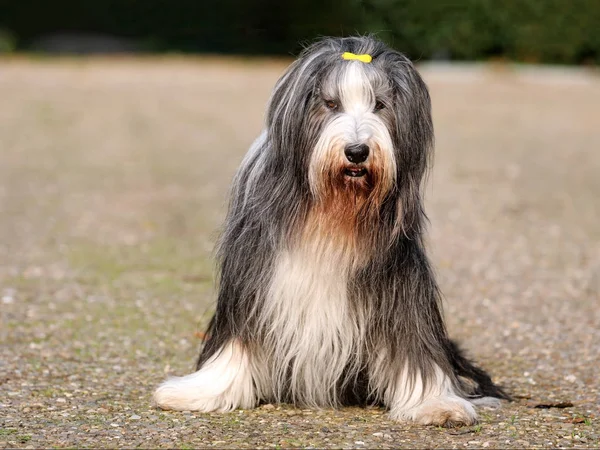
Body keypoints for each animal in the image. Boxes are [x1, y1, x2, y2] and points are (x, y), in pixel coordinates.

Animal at [152, 37, 508, 428]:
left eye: (380, 104)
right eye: (330, 103)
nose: (357, 151)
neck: (334, 213)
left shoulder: (402, 285)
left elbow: (412, 343)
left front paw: (434, 402)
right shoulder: (254, 280)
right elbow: (238, 341)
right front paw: (203, 391)